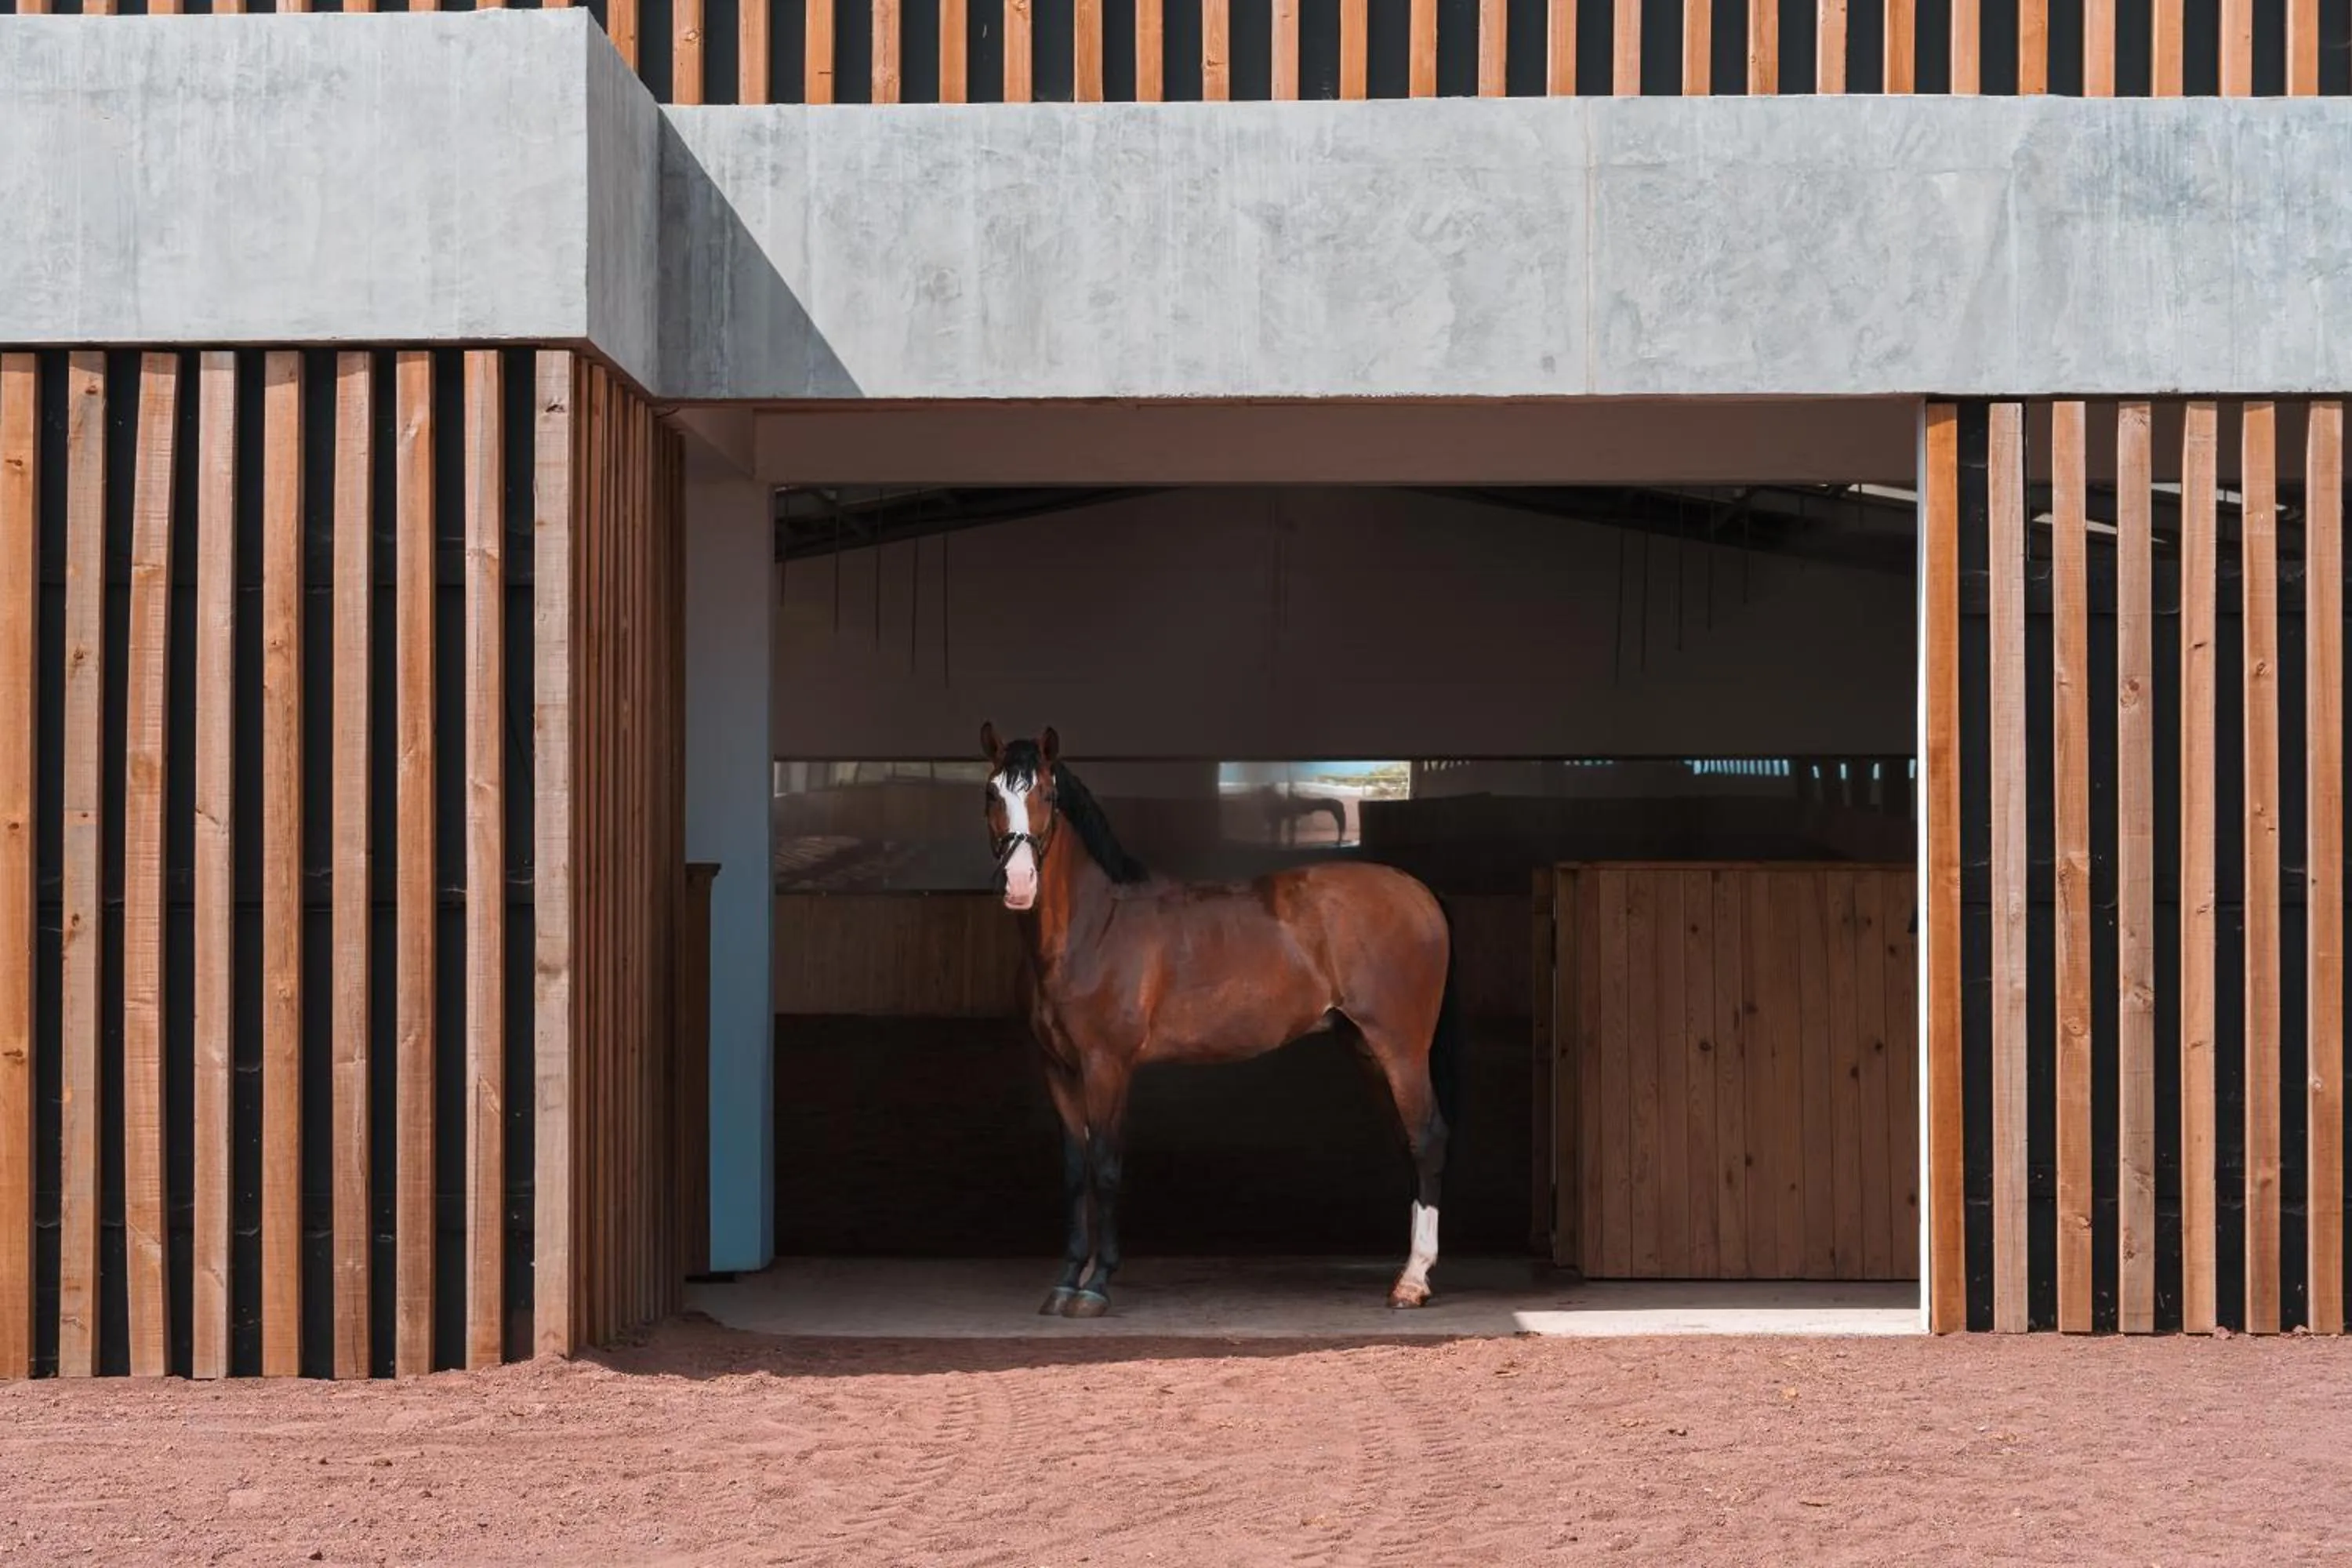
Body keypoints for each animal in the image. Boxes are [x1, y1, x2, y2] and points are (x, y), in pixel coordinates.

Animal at [981, 723, 1463, 1319]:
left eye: (1046, 795)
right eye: (991, 793)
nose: (1019, 883)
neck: (1094, 925)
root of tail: (1418, 892)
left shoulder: (1107, 1066)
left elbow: (1107, 1164)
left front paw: (1096, 1286)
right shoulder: (1059, 1070)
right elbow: (1075, 1171)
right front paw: (1067, 1280)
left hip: (1402, 1048)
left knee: (1427, 1139)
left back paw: (1413, 1281)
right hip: (1367, 1048)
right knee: (1408, 1141)